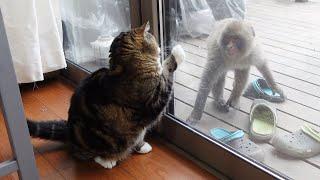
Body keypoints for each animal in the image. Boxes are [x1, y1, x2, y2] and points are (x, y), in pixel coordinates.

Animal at [26, 22, 185, 169]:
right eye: (152, 37)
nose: (160, 48)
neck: (126, 68)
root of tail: (69, 133)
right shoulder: (156, 99)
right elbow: (167, 69)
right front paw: (177, 52)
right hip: (100, 139)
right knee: (94, 154)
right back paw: (107, 160)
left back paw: (141, 146)